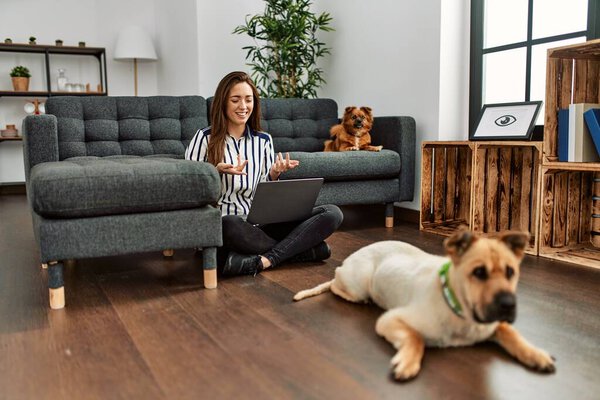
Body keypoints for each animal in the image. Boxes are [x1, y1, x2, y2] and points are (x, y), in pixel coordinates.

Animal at [292, 228, 556, 382]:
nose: (508, 304)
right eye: (479, 273)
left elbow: (510, 332)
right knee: (336, 286)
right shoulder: (390, 319)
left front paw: (536, 354)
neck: (461, 313)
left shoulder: (493, 325)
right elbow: (415, 337)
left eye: (511, 272)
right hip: (358, 284)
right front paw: (407, 362)